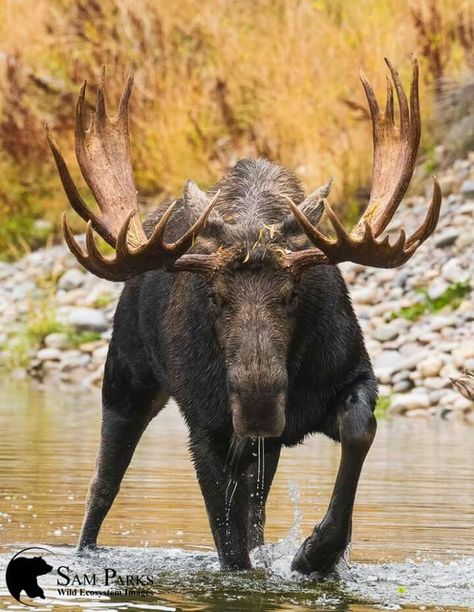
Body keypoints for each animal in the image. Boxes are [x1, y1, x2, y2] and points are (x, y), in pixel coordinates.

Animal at [47, 57, 440, 572]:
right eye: (215, 297)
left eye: (292, 295)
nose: (258, 406)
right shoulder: (207, 427)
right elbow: (229, 548)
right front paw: (305, 554)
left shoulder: (351, 375)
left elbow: (360, 430)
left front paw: (317, 552)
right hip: (125, 379)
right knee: (102, 486)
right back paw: (85, 551)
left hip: (251, 446)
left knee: (254, 508)